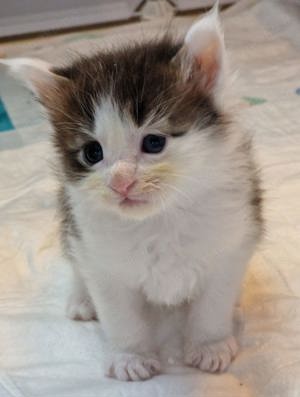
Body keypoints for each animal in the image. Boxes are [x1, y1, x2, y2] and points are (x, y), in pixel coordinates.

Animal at [1, 6, 262, 380]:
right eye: (92, 152)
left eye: (153, 142)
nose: (120, 182)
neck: (159, 219)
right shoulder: (101, 258)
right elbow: (120, 315)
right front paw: (131, 357)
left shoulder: (230, 242)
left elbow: (213, 303)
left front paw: (209, 345)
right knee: (76, 261)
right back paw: (82, 299)